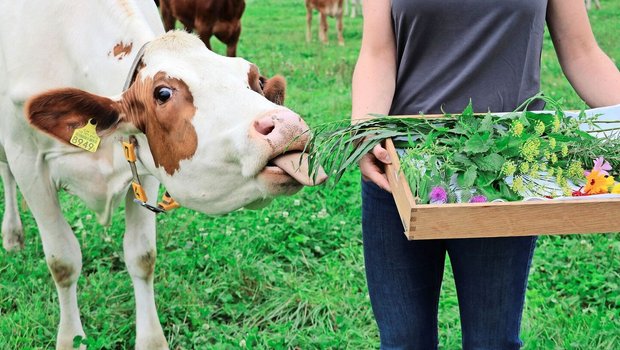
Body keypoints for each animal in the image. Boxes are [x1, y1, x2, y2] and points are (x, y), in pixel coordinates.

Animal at [0, 1, 326, 348]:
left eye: (255, 80)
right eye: (163, 93)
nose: (289, 126)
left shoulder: (143, 164)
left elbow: (142, 256)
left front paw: (151, 340)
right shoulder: (27, 160)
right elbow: (62, 261)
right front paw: (70, 338)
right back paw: (12, 234)